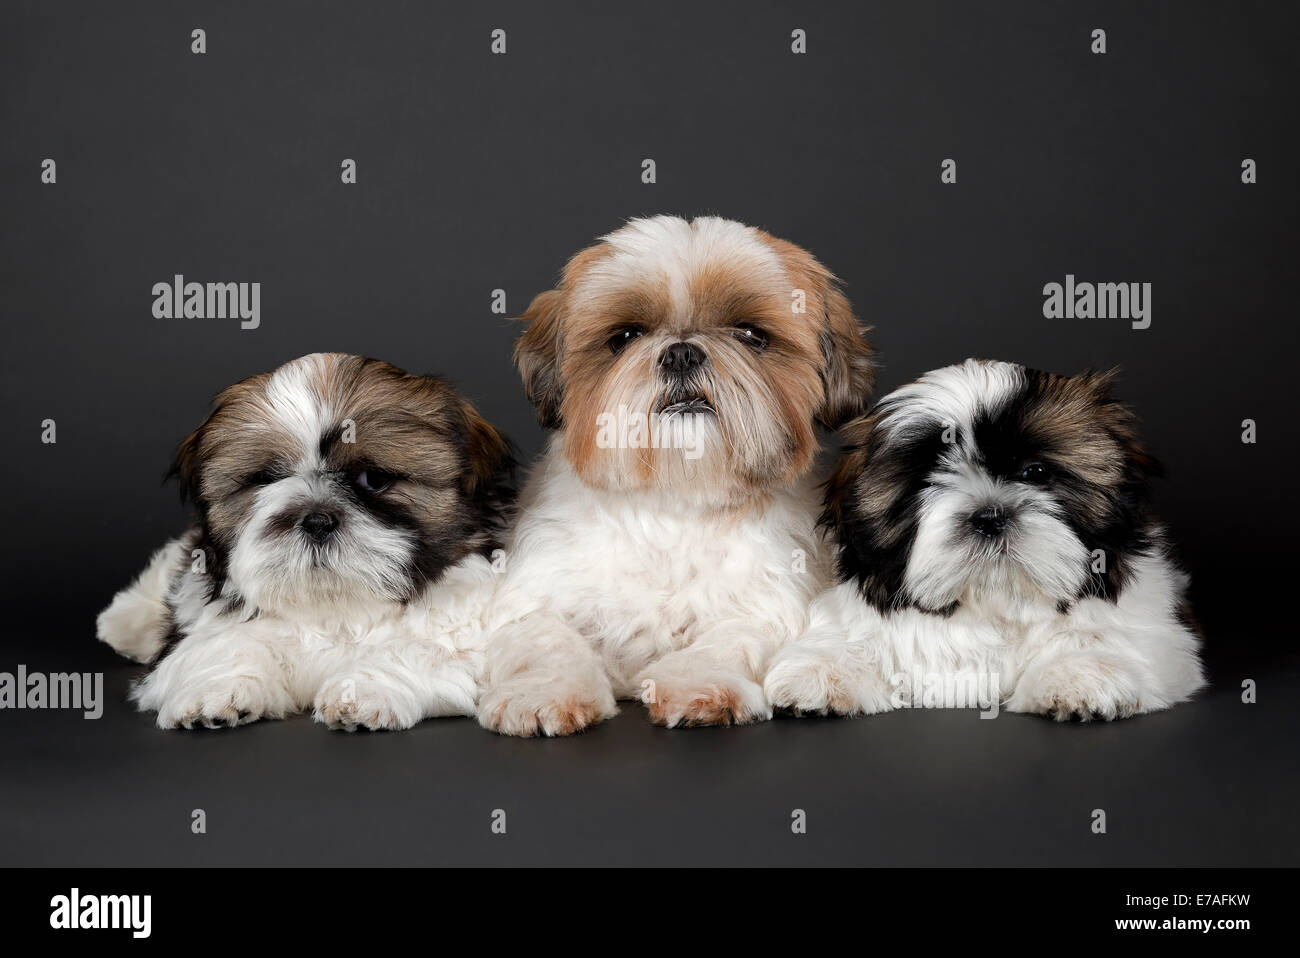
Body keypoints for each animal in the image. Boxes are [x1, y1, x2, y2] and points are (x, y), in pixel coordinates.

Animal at [97, 356, 512, 727]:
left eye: (374, 479)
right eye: (266, 479)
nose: (316, 520)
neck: (333, 606)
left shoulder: (457, 635)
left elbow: (413, 650)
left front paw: (362, 693)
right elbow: (224, 644)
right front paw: (215, 692)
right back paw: (123, 621)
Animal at [478, 213, 873, 733]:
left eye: (750, 335)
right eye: (625, 337)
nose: (682, 352)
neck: (673, 502)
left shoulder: (762, 603)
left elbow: (724, 641)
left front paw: (700, 686)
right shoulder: (536, 595)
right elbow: (547, 640)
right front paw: (544, 693)